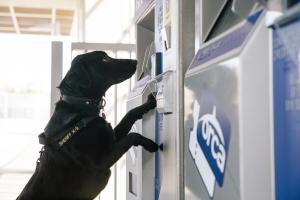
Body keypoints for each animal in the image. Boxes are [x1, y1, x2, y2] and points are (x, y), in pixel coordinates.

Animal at [16, 51, 158, 200]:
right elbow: (132, 136)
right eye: (104, 59)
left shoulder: (111, 139)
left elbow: (130, 114)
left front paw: (148, 103)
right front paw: (150, 144)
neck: (81, 107)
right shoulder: (100, 162)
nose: (135, 61)